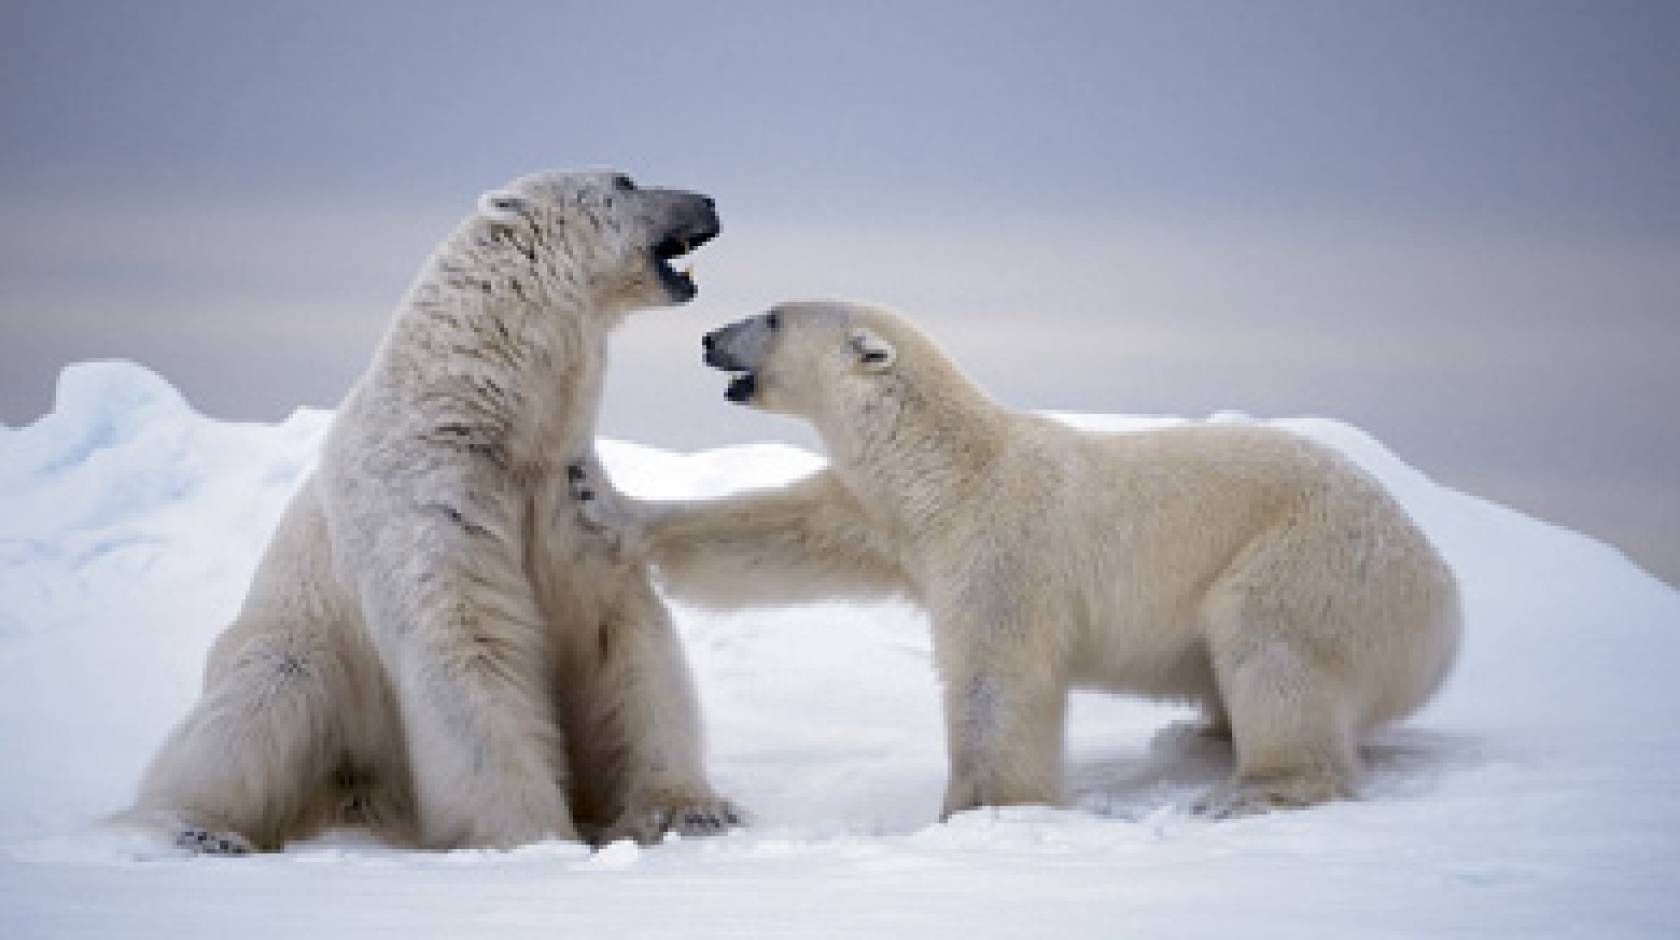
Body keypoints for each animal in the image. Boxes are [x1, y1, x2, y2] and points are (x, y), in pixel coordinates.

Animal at [122, 169, 740, 853]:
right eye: (625, 181)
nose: (711, 199)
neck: (483, 415)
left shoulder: (565, 497)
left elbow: (619, 635)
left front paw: (689, 810)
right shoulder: (430, 497)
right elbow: (470, 640)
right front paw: (532, 836)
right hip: (297, 646)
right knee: (259, 704)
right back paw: (198, 828)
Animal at [569, 299, 1462, 819]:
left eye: (774, 316)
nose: (709, 337)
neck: (953, 468)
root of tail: (1445, 603)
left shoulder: (1004, 545)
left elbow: (997, 677)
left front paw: (979, 810)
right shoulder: (892, 523)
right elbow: (782, 533)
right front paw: (600, 496)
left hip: (1319, 560)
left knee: (1269, 643)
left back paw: (1256, 787)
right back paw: (1204, 735)